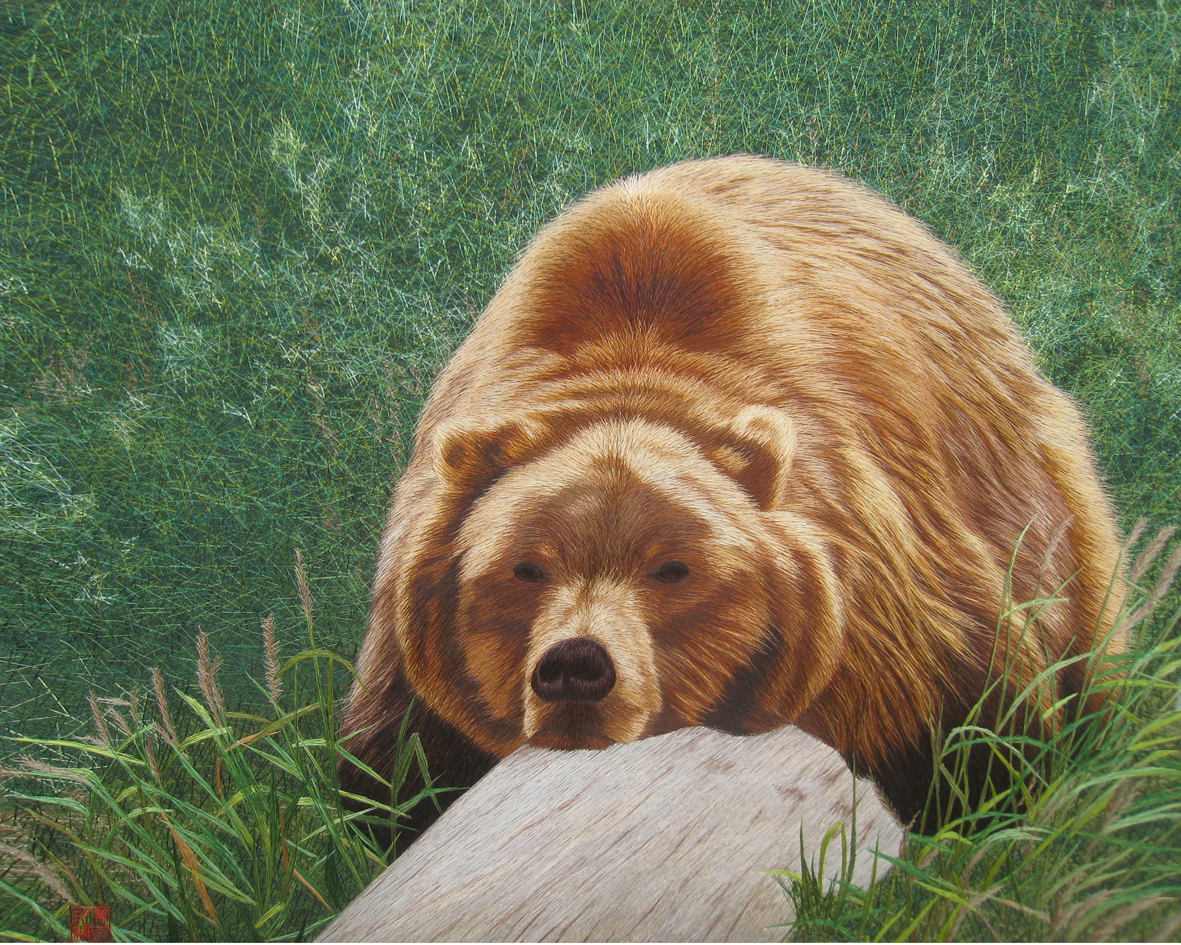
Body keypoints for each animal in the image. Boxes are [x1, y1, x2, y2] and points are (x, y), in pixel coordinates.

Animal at [338, 154, 1127, 847]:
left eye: (673, 568)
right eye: (524, 568)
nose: (577, 666)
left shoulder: (892, 603)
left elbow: (977, 729)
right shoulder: (415, 661)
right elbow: (394, 777)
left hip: (1036, 494)